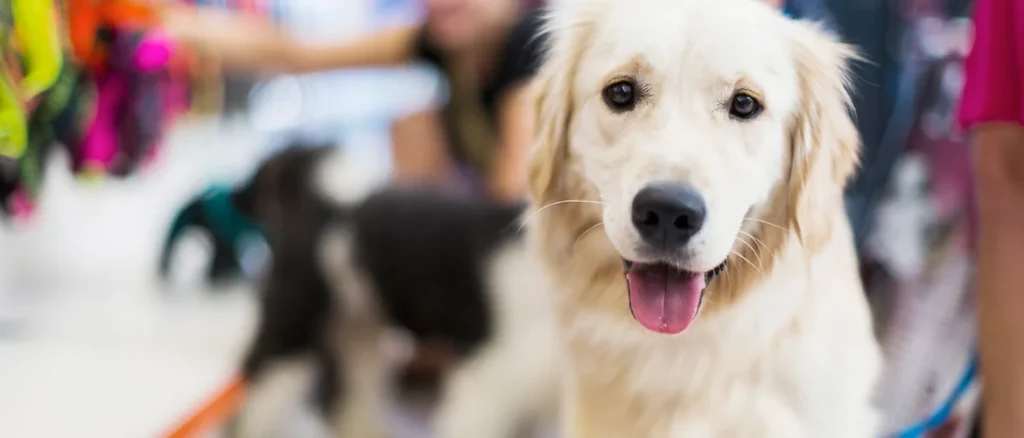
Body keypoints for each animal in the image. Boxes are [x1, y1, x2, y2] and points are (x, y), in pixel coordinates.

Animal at [228, 146, 561, 438]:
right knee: (256, 391)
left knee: (349, 399)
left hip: (356, 329)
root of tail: (329, 204)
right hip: (293, 324)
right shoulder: (490, 378)